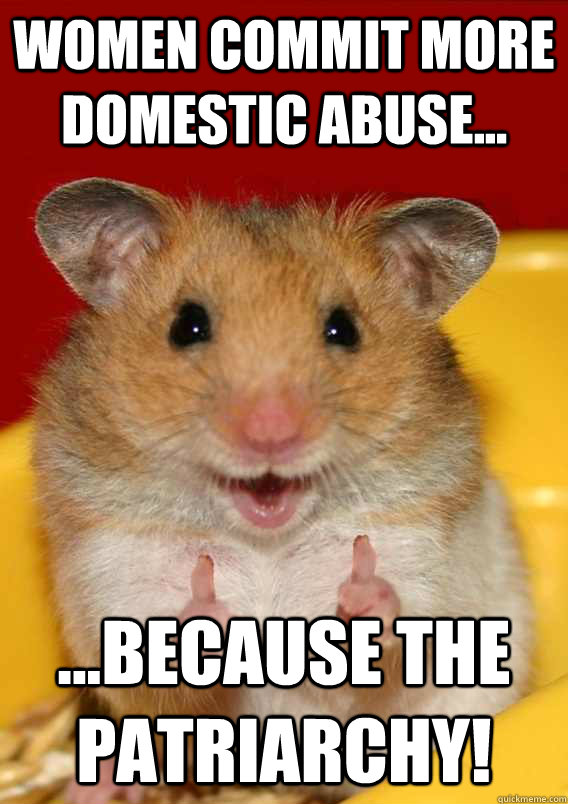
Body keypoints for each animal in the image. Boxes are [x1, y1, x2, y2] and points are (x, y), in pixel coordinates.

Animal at [32, 179, 533, 802]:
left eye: (343, 329)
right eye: (187, 325)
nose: (271, 433)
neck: (263, 540)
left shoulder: (422, 560)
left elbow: (394, 625)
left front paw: (361, 594)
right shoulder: (115, 582)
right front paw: (207, 609)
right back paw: (96, 787)